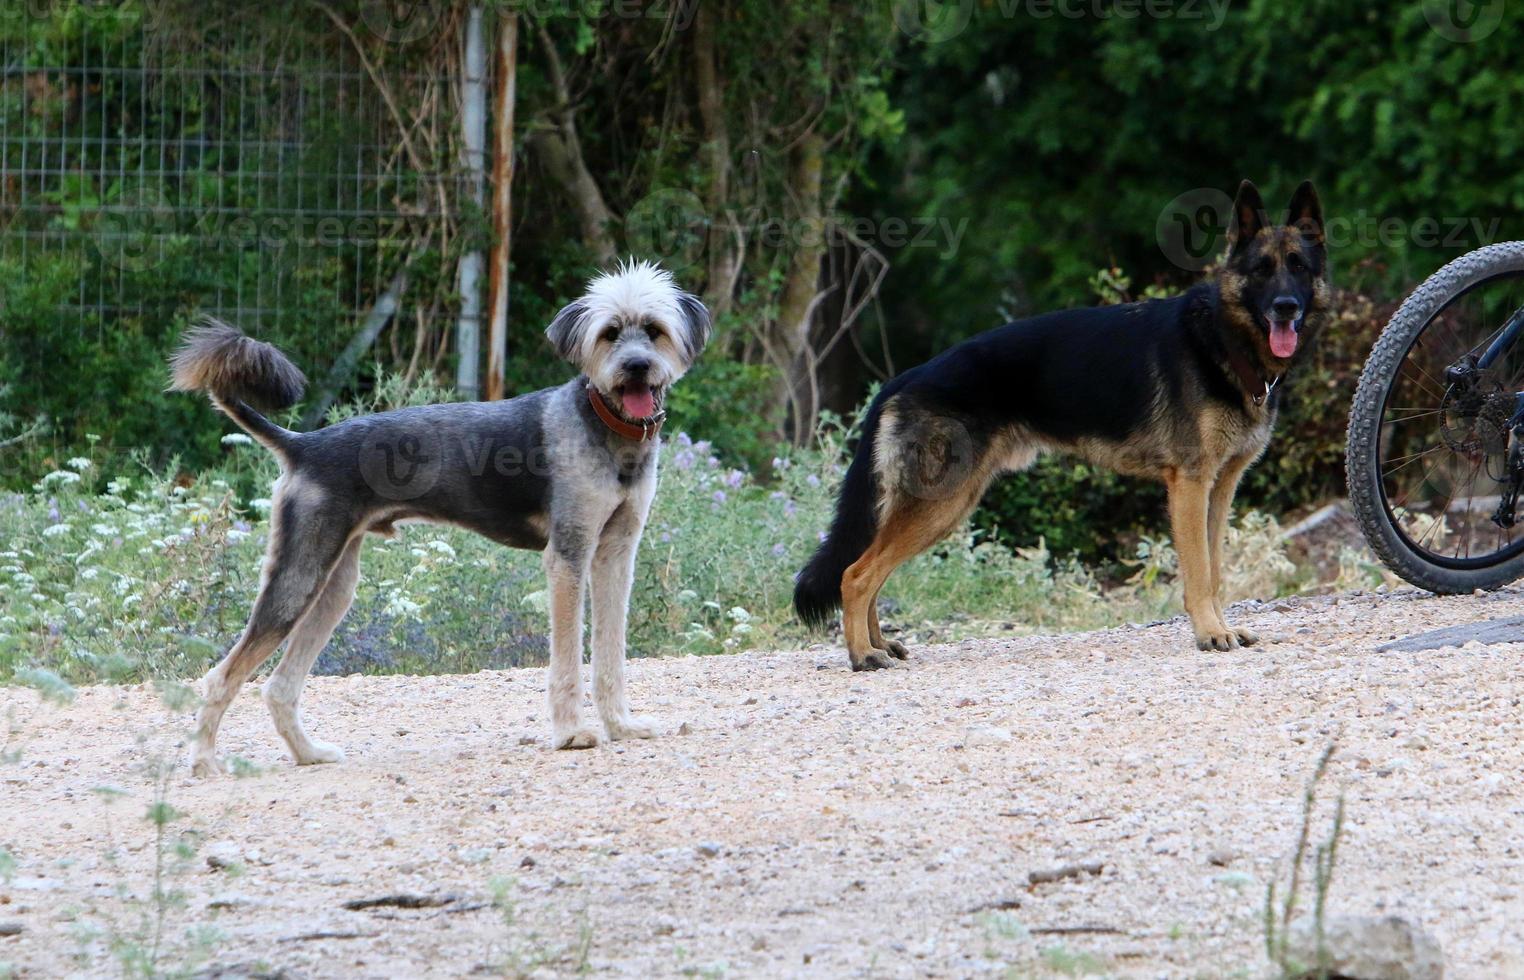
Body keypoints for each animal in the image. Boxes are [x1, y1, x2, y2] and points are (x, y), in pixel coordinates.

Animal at [171, 259, 707, 774]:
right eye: (610, 333)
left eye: (654, 330)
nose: (636, 367)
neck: (605, 422)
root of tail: (303, 446)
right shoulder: (568, 558)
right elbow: (568, 660)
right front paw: (573, 733)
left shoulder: (615, 555)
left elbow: (612, 653)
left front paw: (621, 725)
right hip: (299, 577)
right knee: (221, 676)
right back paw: (204, 762)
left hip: (334, 585)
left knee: (279, 684)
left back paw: (308, 754)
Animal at [792, 179, 1328, 670]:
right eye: (1261, 271)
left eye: (1298, 267)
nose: (1286, 307)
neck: (1221, 339)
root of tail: (904, 377)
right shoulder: (1191, 486)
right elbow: (1198, 572)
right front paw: (1209, 633)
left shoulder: (1220, 488)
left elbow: (1214, 571)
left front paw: (1222, 626)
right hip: (939, 504)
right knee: (856, 574)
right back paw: (862, 654)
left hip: (943, 507)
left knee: (869, 570)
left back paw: (880, 644)